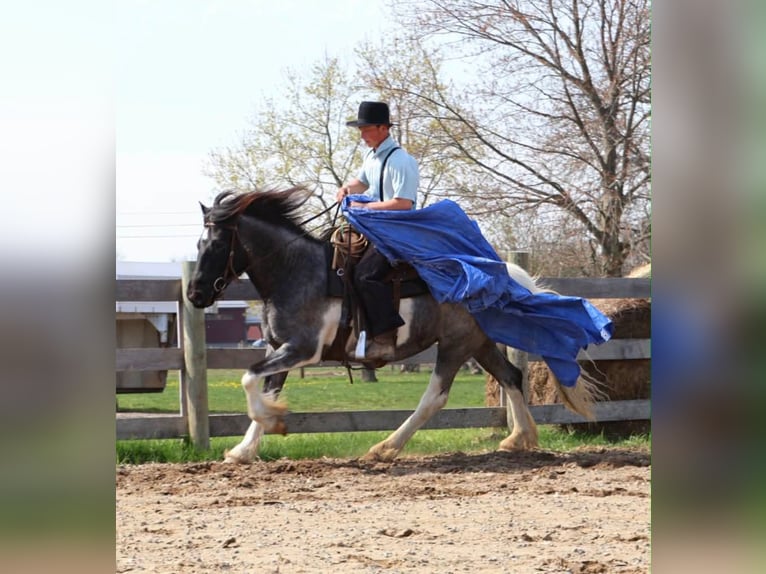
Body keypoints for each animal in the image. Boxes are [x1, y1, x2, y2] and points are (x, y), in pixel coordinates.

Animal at [186, 187, 598, 463]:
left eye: (217, 244)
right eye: (198, 245)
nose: (194, 294)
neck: (296, 272)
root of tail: (500, 273)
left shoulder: (301, 349)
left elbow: (249, 379)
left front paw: (274, 421)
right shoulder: (280, 348)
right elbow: (264, 386)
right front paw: (244, 449)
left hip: (455, 345)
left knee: (436, 396)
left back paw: (386, 447)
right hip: (478, 344)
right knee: (511, 376)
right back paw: (519, 439)